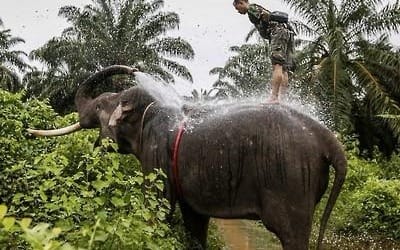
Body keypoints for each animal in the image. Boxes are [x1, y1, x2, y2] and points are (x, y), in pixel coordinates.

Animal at [28, 65, 346, 250]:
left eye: (99, 106)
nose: (134, 66)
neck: (149, 105)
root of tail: (329, 138)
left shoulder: (156, 152)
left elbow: (159, 206)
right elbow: (194, 220)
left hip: (289, 182)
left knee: (292, 236)